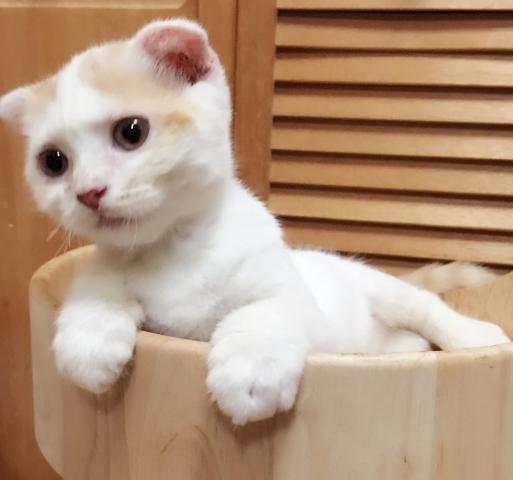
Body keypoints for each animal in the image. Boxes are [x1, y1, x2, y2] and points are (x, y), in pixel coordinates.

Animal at [0, 18, 509, 426]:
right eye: (53, 162)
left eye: (131, 132)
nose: (88, 191)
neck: (173, 249)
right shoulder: (112, 266)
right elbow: (96, 284)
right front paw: (89, 334)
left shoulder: (291, 296)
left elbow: (264, 310)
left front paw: (250, 366)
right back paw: (408, 349)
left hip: (383, 291)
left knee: (425, 306)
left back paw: (473, 337)